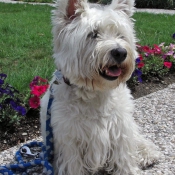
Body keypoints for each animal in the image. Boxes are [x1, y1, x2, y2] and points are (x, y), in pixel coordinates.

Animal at [40, 0, 160, 174]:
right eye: (93, 34)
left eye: (120, 35)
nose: (120, 52)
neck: (96, 92)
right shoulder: (69, 141)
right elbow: (73, 165)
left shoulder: (119, 131)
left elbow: (125, 158)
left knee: (137, 138)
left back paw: (148, 153)